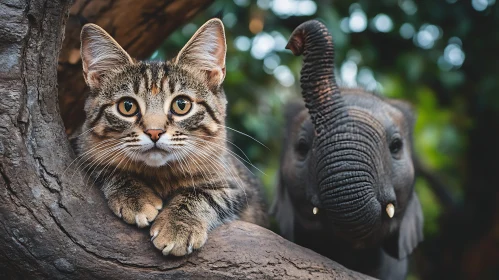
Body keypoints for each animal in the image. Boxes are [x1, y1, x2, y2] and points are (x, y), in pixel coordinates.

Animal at [72, 19, 270, 256]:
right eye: (127, 106)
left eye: (181, 105)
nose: (154, 132)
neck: (161, 174)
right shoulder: (80, 145)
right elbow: (104, 165)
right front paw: (135, 195)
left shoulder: (236, 185)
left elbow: (205, 194)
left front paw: (178, 225)